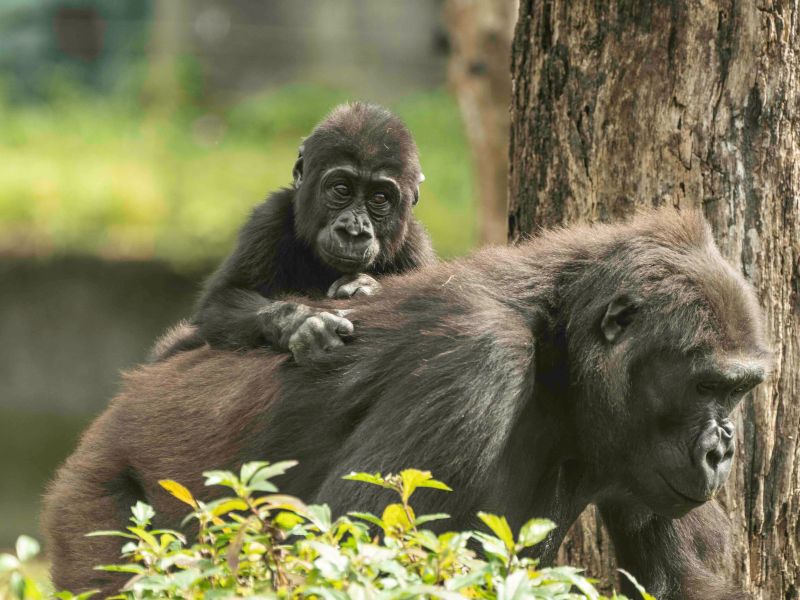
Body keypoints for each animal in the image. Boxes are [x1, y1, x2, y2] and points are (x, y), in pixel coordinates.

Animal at [42, 209, 768, 596]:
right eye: (707, 386)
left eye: (739, 391)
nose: (721, 448)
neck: (559, 353)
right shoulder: (474, 362)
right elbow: (349, 555)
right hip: (101, 504)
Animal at [153, 103, 434, 364]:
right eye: (341, 189)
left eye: (379, 198)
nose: (353, 231)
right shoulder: (267, 219)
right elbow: (219, 302)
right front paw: (300, 320)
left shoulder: (416, 247)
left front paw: (365, 287)